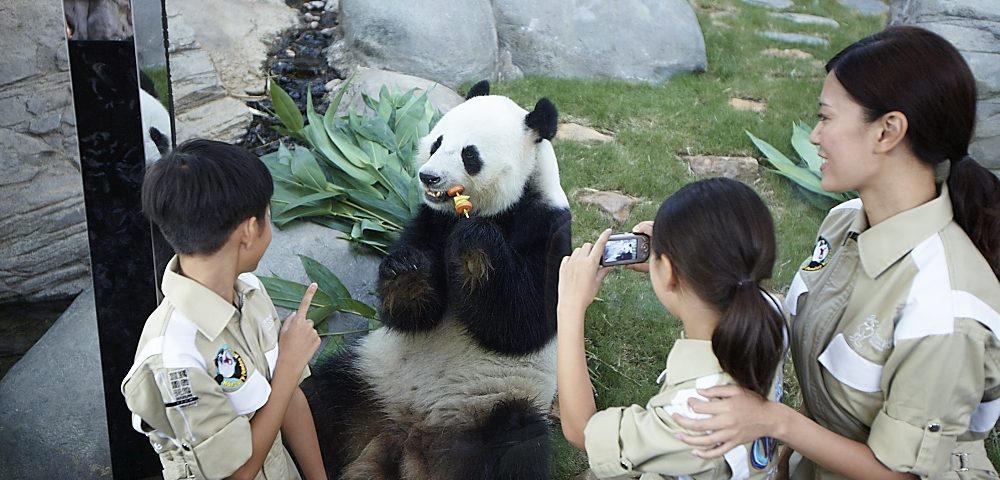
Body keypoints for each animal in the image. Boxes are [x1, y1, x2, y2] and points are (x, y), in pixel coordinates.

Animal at [302, 80, 572, 478]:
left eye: (469, 154)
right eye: (436, 142)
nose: (428, 176)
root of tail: (411, 439)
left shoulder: (550, 228)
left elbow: (523, 320)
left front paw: (476, 244)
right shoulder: (429, 221)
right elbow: (412, 316)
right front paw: (407, 269)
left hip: (497, 403)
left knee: (514, 448)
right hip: (367, 378)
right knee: (320, 400)